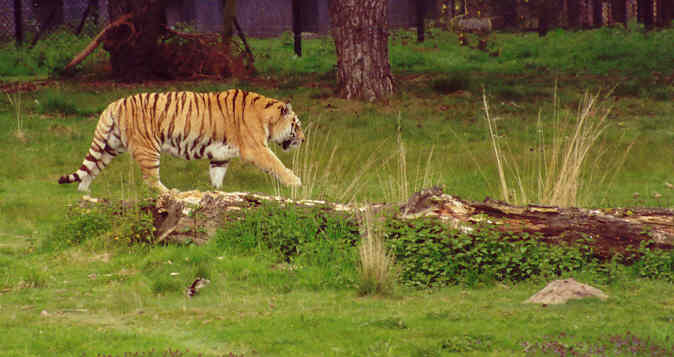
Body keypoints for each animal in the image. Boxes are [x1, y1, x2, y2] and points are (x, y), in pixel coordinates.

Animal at [57, 90, 304, 193]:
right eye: (296, 125)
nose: (302, 140)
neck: (266, 116)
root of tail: (114, 104)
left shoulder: (221, 155)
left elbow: (217, 174)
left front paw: (218, 191)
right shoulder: (256, 149)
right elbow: (276, 165)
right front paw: (295, 183)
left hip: (110, 146)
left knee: (92, 168)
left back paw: (84, 191)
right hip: (148, 149)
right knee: (150, 180)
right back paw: (171, 192)